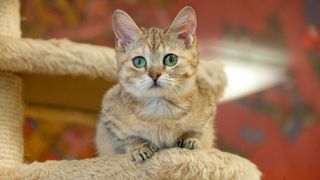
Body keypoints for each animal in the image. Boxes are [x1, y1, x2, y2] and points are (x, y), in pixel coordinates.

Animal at [95, 6, 225, 162]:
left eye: (171, 59)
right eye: (139, 61)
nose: (154, 75)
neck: (160, 111)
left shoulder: (208, 106)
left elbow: (198, 130)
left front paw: (190, 138)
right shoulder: (108, 117)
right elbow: (128, 136)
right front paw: (139, 145)